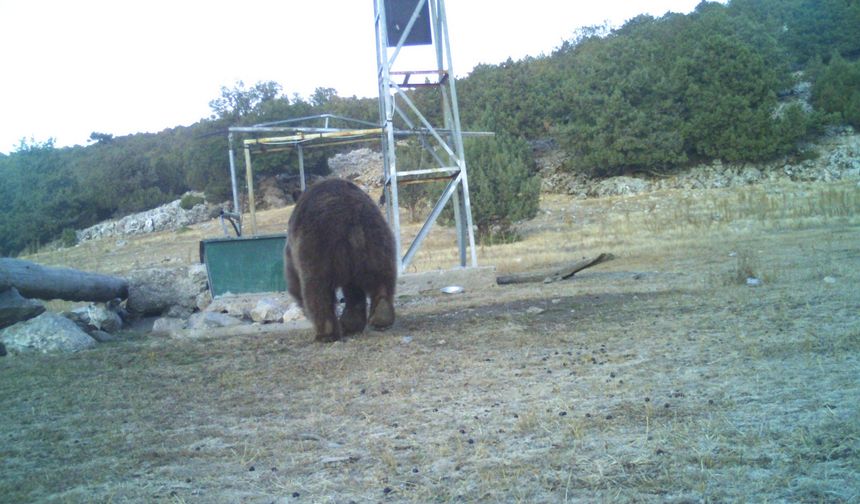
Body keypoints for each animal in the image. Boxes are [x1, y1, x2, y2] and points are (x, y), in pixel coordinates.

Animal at [288, 178, 398, 342]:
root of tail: (350, 217)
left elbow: (295, 280)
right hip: (377, 241)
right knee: (381, 278)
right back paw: (379, 317)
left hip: (317, 247)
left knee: (316, 288)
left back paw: (325, 333)